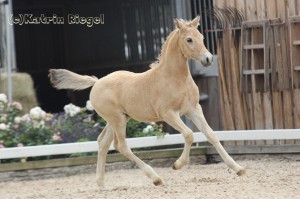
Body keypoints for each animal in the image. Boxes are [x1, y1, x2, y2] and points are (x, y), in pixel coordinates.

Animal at [49, 16, 245, 186]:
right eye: (189, 39)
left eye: (202, 37)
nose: (208, 59)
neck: (175, 78)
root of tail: (96, 82)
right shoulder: (168, 114)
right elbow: (189, 134)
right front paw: (177, 165)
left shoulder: (193, 109)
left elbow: (211, 134)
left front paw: (237, 168)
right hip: (117, 120)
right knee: (121, 146)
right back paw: (156, 178)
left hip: (119, 119)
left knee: (103, 143)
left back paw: (101, 183)